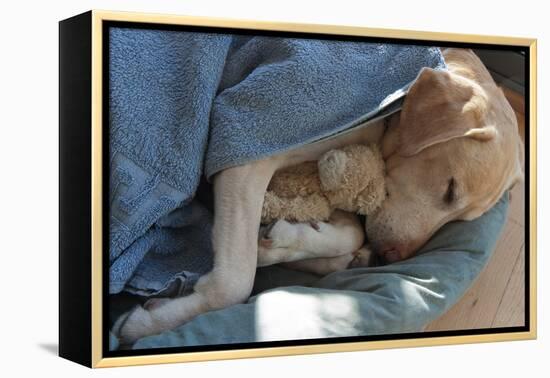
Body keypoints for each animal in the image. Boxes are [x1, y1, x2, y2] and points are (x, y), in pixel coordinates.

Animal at [114, 48, 524, 344]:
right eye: (450, 189)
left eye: (460, 219)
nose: (389, 258)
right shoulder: (246, 149)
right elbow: (235, 282)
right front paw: (150, 323)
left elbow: (349, 235)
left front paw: (288, 241)